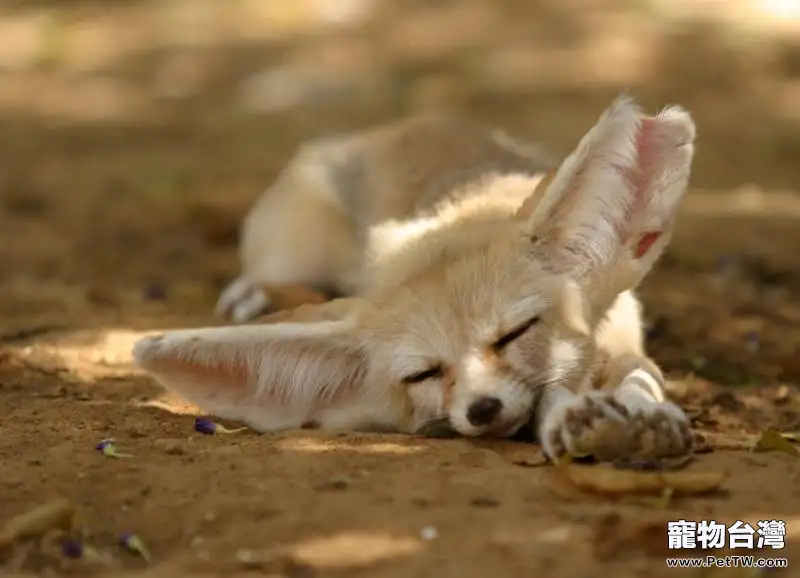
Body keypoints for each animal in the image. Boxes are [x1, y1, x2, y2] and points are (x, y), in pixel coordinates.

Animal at [131, 95, 692, 464]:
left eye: (515, 334)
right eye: (423, 374)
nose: (482, 409)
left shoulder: (624, 337)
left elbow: (632, 376)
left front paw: (638, 415)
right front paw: (579, 418)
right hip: (294, 245)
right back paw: (256, 292)